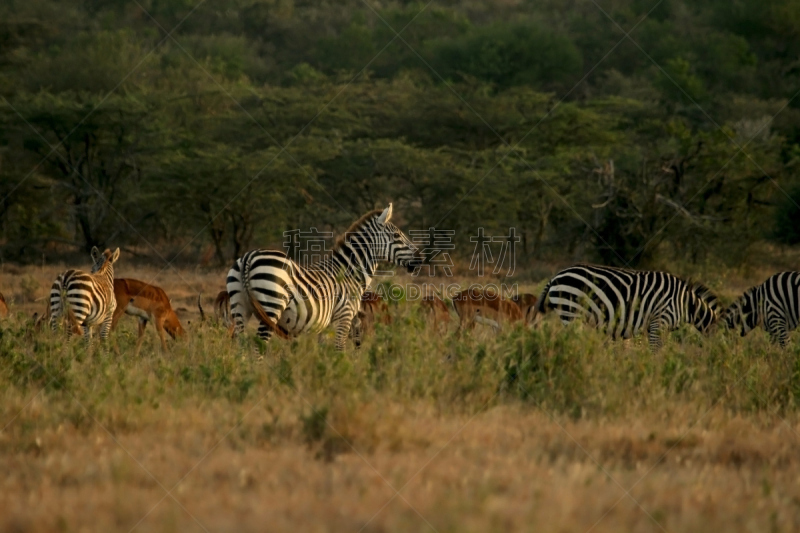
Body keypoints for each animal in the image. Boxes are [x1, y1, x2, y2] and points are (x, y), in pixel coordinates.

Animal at [225, 203, 418, 350]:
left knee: (241, 345)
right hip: (271, 305)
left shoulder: (325, 325)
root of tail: (249, 257)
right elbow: (339, 349)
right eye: (396, 236)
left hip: (239, 306)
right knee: (259, 345)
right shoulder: (344, 316)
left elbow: (324, 352)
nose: (420, 258)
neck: (349, 273)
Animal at [536, 262, 720, 350]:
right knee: (572, 341)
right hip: (571, 312)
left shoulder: (662, 328)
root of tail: (555, 276)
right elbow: (656, 352)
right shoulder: (659, 322)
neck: (686, 304)